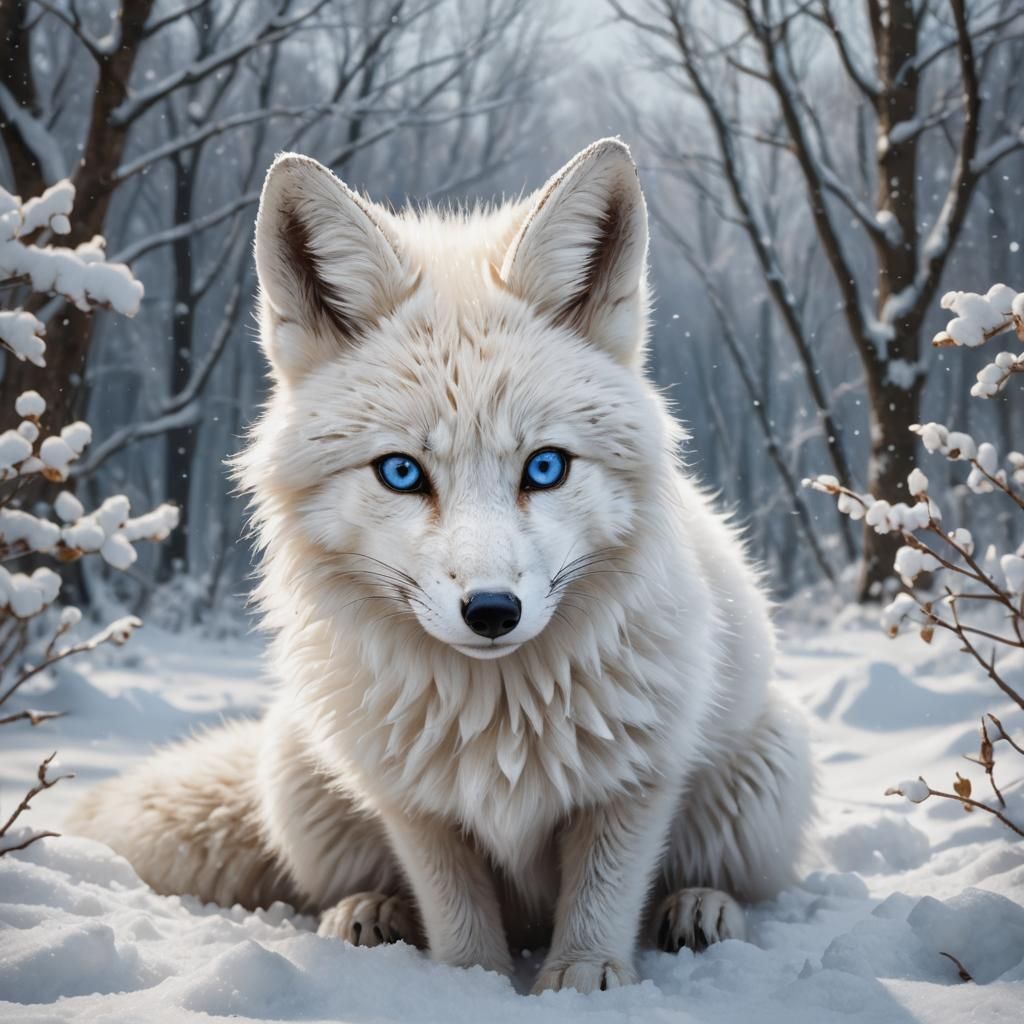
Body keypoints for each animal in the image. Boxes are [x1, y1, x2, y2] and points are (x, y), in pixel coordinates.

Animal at [68, 139, 813, 994]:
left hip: (769, 772)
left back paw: (700, 908)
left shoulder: (637, 778)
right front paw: (470, 986)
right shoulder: (413, 803)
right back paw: (371, 914)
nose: (492, 611)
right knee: (362, 886)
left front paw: (584, 979)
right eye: (400, 473)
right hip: (297, 769)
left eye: (546, 467)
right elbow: (455, 912)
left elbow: (605, 894)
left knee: (722, 882)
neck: (499, 712)